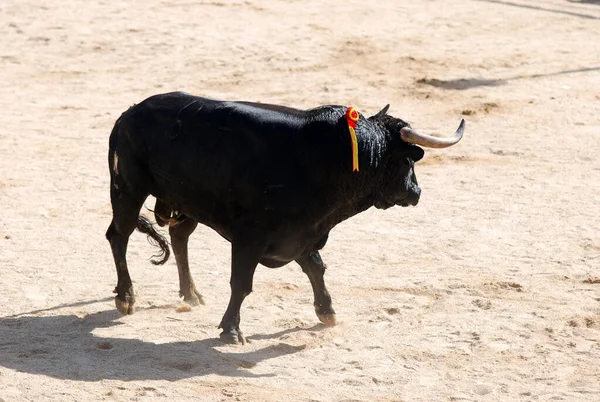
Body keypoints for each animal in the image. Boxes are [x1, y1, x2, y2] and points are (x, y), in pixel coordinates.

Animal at [106, 92, 464, 344]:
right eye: (407, 161)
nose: (416, 192)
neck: (327, 160)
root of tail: (128, 114)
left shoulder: (301, 232)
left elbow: (316, 268)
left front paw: (327, 312)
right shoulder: (251, 236)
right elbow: (242, 283)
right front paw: (231, 331)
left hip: (185, 200)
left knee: (180, 236)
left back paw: (191, 295)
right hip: (128, 189)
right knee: (119, 235)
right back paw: (126, 298)